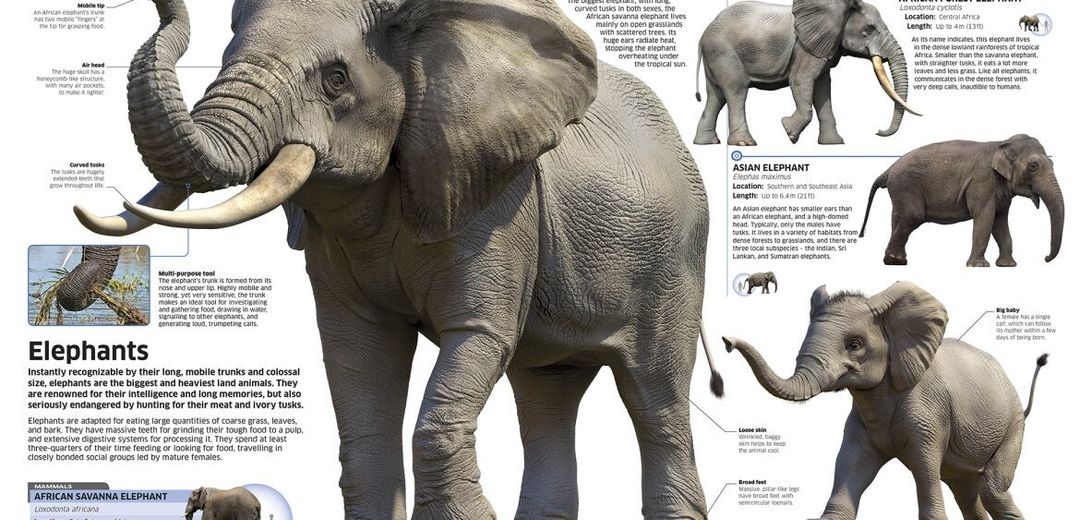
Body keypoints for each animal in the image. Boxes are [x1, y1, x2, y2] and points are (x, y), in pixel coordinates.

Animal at [74, 0, 715, 518]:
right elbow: (357, 357)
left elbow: (477, 334)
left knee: (656, 398)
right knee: (546, 393)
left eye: (335, 79)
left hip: (678, 259)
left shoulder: (498, 200)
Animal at [693, 0, 920, 146]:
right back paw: (744, 143)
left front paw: (834, 144)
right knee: (737, 90)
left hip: (716, 56)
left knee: (716, 96)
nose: (878, 131)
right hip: (724, 52)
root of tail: (703, 35)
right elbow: (801, 81)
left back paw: (707, 143)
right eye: (870, 29)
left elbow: (822, 89)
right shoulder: (805, 48)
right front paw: (788, 132)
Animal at [716, 282, 1049, 520]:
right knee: (968, 495)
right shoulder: (859, 426)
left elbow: (926, 477)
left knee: (993, 490)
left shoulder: (930, 415)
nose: (727, 342)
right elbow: (848, 473)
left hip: (1012, 427)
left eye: (855, 345)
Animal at [858, 134, 1064, 267]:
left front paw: (1008, 265)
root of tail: (888, 169)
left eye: (1052, 163)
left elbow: (1000, 222)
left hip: (900, 190)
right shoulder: (982, 182)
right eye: (1033, 166)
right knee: (913, 216)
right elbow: (985, 218)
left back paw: (896, 261)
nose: (1045, 258)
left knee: (898, 218)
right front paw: (978, 266)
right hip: (905, 186)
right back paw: (894, 261)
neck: (1001, 143)